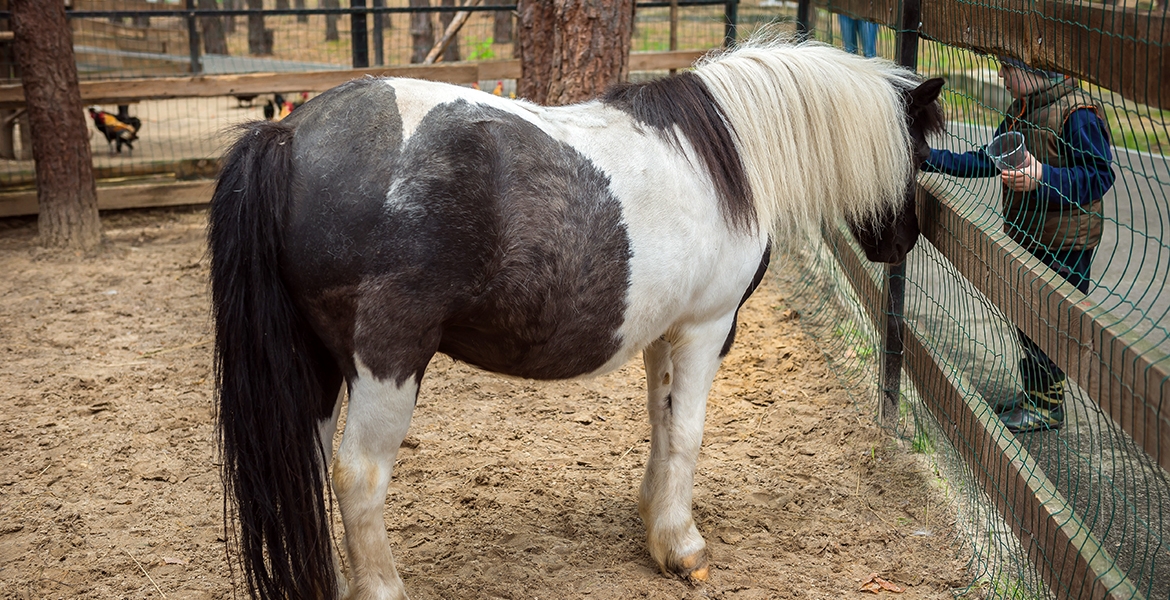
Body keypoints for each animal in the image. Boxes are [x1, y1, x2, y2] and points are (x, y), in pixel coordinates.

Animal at [208, 38, 940, 598]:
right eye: (922, 152)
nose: (903, 240)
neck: (727, 160)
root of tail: (288, 133)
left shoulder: (664, 333)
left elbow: (661, 422)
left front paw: (654, 524)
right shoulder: (705, 327)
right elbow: (689, 432)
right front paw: (684, 546)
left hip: (313, 363)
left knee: (306, 465)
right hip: (388, 360)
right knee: (357, 475)